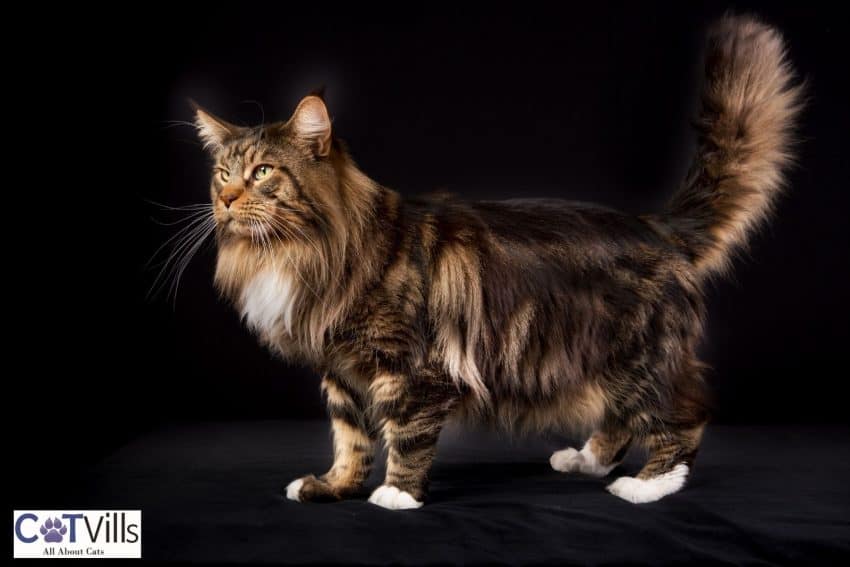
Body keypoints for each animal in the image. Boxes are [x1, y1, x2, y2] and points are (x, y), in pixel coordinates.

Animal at [189, 14, 800, 510]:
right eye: (222, 174)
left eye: (263, 172)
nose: (225, 200)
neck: (302, 249)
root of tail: (656, 226)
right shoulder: (341, 373)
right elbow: (350, 440)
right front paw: (334, 487)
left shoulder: (412, 368)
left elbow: (406, 434)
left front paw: (397, 494)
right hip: (603, 361)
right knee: (621, 419)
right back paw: (587, 460)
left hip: (640, 357)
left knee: (683, 418)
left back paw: (645, 486)